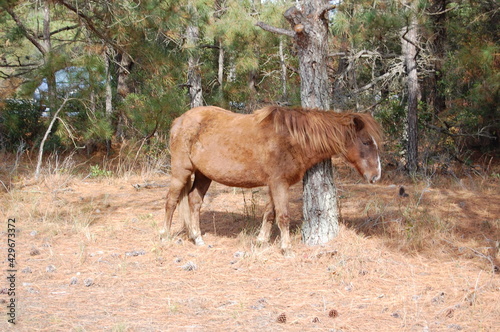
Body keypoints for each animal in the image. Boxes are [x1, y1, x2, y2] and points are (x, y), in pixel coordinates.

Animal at [164, 105, 382, 253]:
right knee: (171, 201)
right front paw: (287, 248)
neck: (292, 139)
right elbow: (283, 215)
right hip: (181, 172)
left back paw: (197, 238)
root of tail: (178, 121)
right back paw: (164, 235)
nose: (376, 176)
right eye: (365, 142)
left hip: (203, 175)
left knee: (194, 202)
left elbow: (270, 213)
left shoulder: (274, 184)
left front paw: (261, 240)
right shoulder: (279, 184)